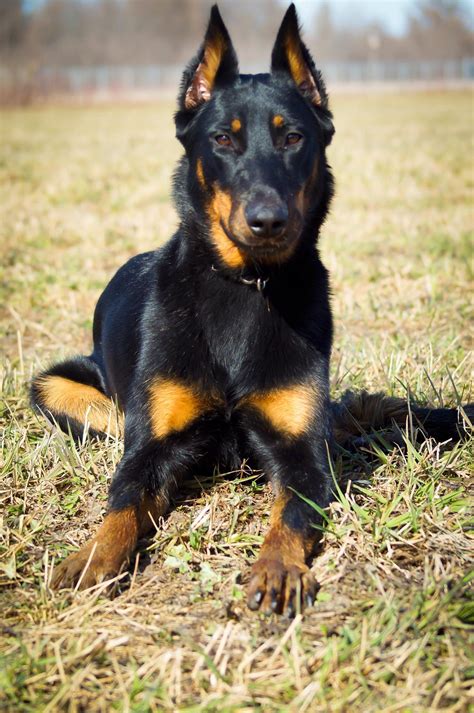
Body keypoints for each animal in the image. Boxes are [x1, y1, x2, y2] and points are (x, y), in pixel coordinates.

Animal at [31, 5, 472, 616]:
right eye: (223, 139)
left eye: (293, 138)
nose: (267, 220)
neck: (248, 283)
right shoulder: (149, 450)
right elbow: (121, 505)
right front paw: (93, 558)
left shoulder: (302, 454)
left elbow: (291, 516)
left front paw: (277, 567)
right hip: (55, 389)